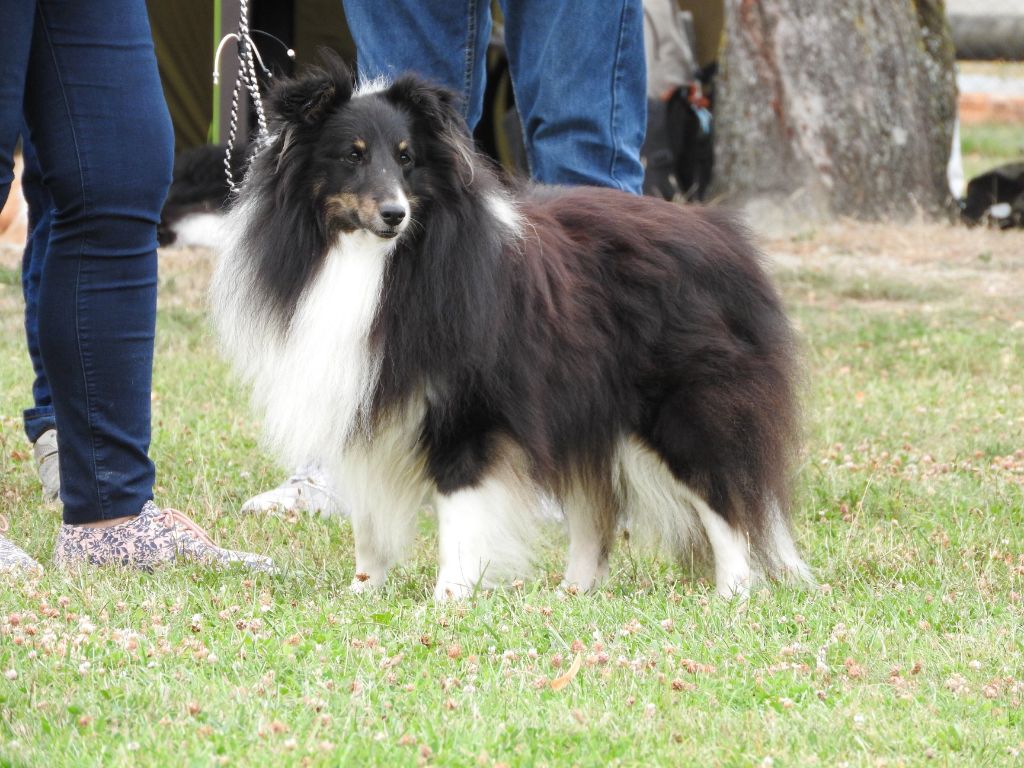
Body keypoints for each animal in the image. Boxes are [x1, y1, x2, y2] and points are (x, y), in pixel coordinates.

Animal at [211, 55, 811, 602]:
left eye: (407, 159)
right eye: (351, 156)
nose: (394, 214)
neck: (373, 261)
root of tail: (726, 239)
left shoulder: (467, 407)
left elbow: (457, 509)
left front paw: (448, 598)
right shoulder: (363, 400)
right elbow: (368, 521)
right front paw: (362, 591)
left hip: (680, 408)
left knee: (724, 498)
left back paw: (732, 592)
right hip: (584, 407)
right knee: (597, 508)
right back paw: (573, 592)